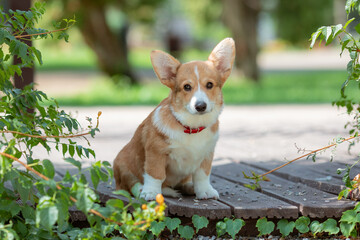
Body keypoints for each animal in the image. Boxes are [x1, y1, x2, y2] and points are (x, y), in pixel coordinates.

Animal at [113, 38, 236, 201]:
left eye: (209, 85)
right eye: (187, 87)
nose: (200, 106)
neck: (191, 126)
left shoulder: (207, 154)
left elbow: (202, 175)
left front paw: (205, 191)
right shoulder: (156, 153)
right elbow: (156, 175)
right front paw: (151, 192)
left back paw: (189, 187)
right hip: (122, 164)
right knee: (131, 183)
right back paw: (143, 189)